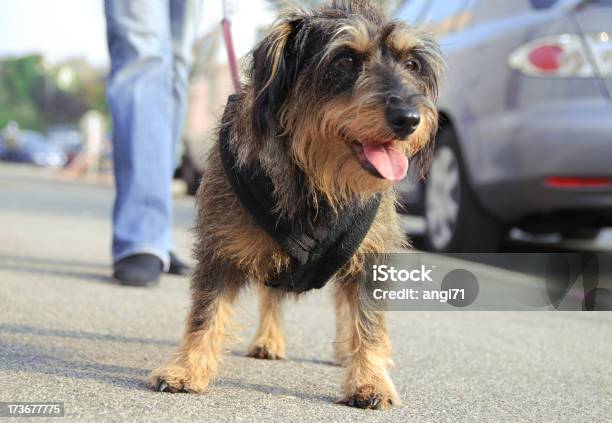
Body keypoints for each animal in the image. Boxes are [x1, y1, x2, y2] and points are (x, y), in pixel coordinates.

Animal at [151, 0, 442, 410]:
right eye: (345, 59)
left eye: (412, 64)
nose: (409, 119)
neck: (315, 178)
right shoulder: (219, 247)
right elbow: (206, 312)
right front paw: (187, 369)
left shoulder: (371, 255)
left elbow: (367, 319)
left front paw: (370, 379)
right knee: (272, 296)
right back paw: (268, 339)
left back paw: (346, 351)